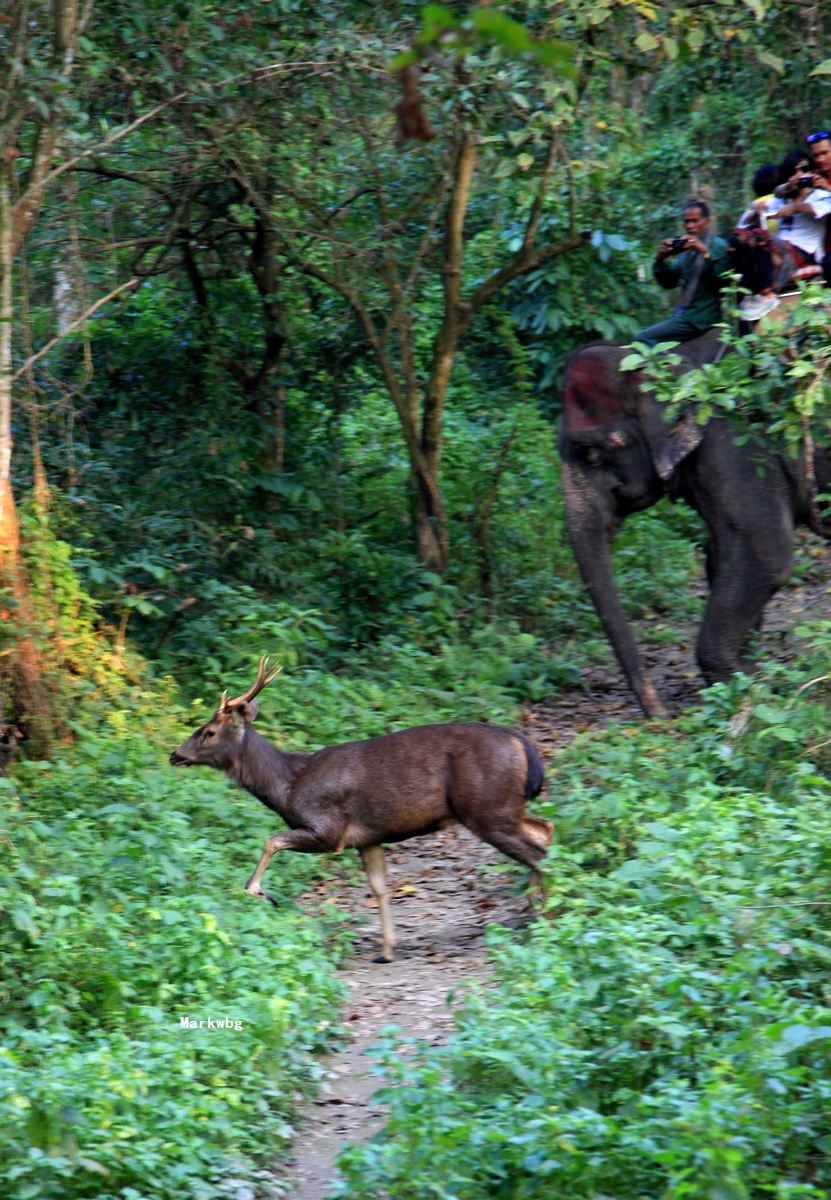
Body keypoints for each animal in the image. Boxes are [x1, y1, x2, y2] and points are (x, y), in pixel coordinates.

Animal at [170, 662, 552, 960]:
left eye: (209, 732)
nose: (175, 754)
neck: (287, 785)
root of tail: (522, 744)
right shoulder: (368, 838)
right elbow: (380, 887)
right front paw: (387, 950)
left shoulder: (329, 829)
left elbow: (272, 840)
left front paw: (260, 892)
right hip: (504, 806)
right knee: (544, 829)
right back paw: (532, 907)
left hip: (486, 809)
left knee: (538, 851)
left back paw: (544, 916)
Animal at [554, 328, 826, 715]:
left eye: (589, 452)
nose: (659, 716)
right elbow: (722, 555)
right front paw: (752, 675)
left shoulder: (734, 444)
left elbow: (765, 555)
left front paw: (740, 688)